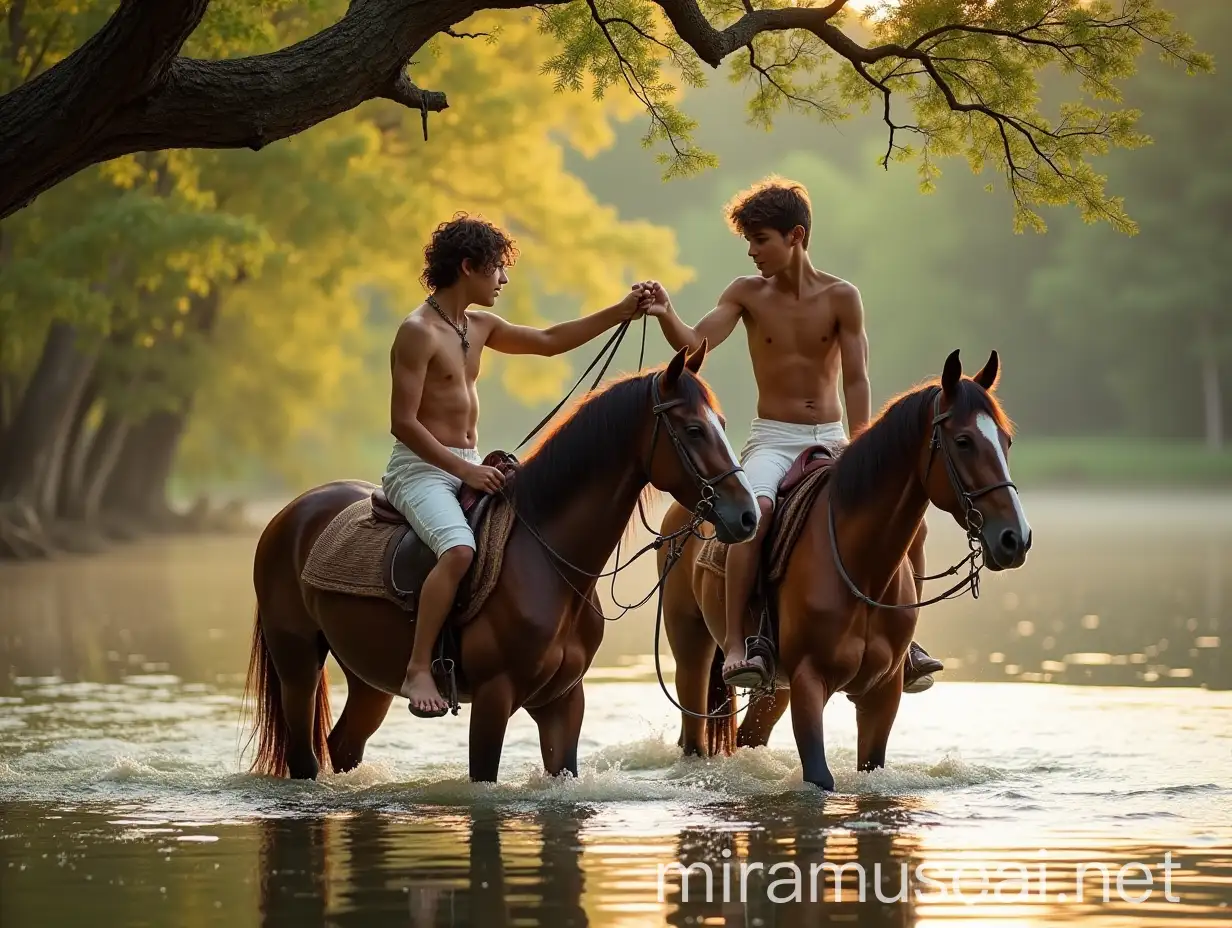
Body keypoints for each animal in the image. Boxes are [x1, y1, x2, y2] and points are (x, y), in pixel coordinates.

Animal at [243, 345, 753, 778]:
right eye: (694, 429)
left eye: (724, 422)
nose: (747, 514)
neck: (550, 564)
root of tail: (288, 515)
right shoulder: (493, 698)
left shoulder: (564, 701)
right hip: (297, 662)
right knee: (304, 758)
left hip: (369, 676)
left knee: (343, 746)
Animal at [665, 350, 1029, 788]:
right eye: (963, 441)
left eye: (1006, 441)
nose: (1015, 538)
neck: (863, 571)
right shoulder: (809, 683)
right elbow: (819, 777)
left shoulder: (881, 693)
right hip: (692, 655)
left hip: (775, 690)